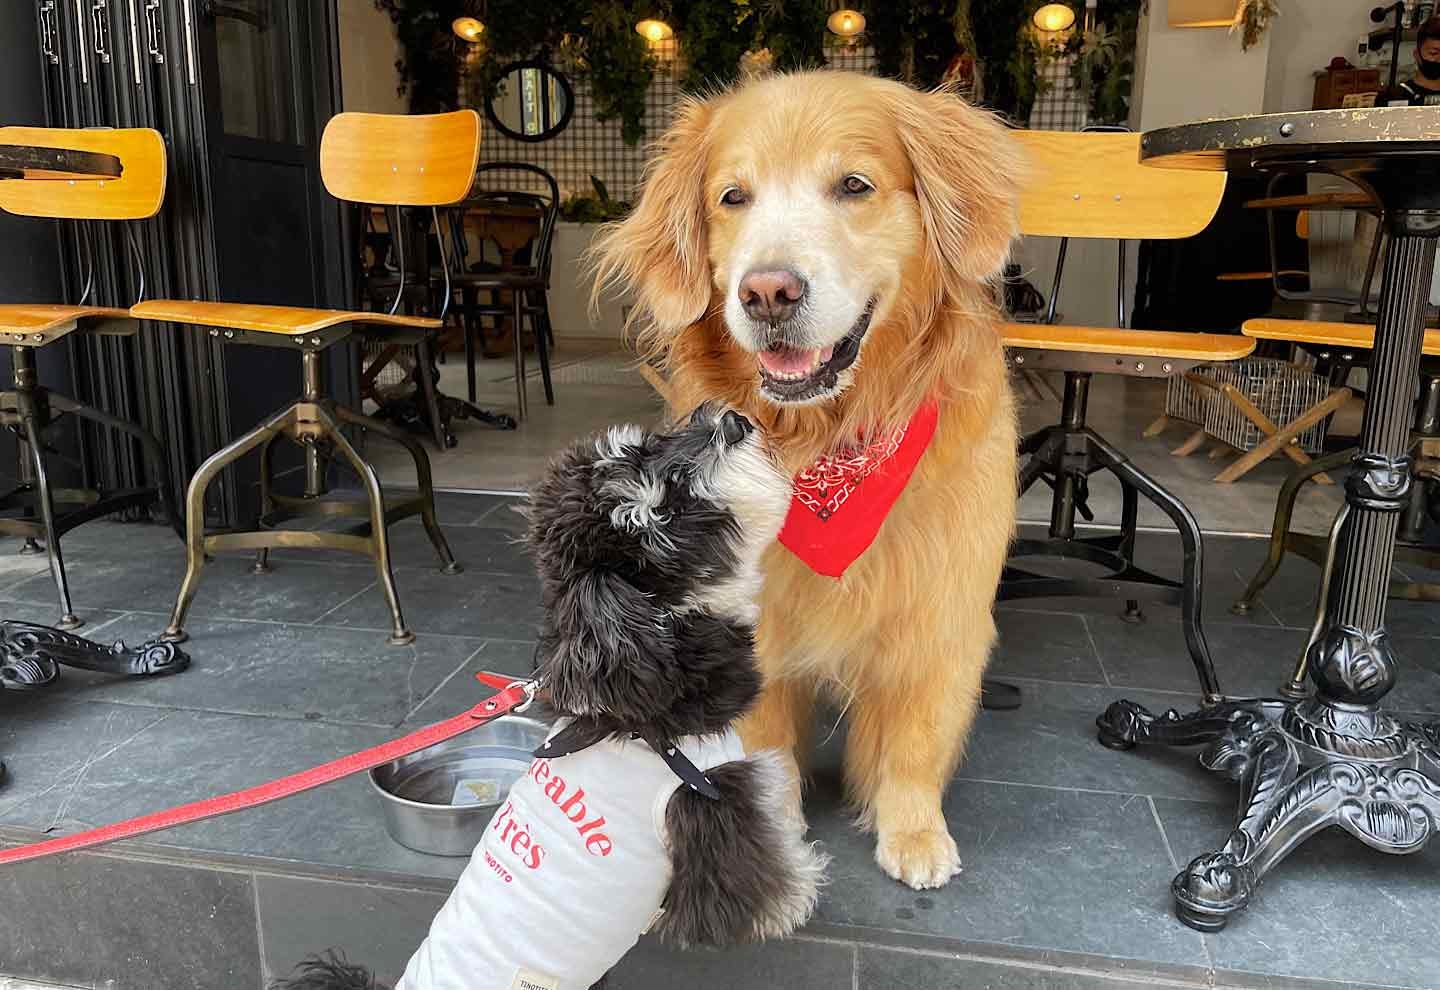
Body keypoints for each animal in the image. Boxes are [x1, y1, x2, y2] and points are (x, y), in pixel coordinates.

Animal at [275, 402, 829, 990]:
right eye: (670, 506)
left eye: (649, 445)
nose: (729, 418)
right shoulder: (713, 805)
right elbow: (760, 887)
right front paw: (803, 888)